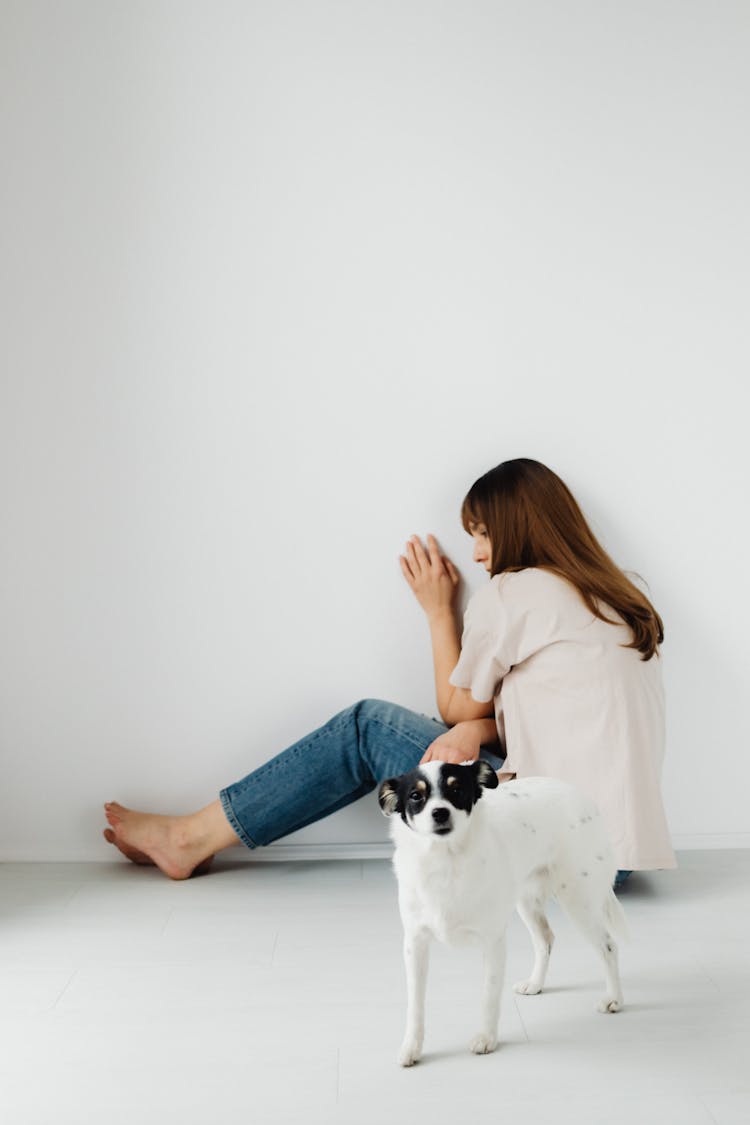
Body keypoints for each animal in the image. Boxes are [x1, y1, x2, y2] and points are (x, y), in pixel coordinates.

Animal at [377, 756, 629, 1062]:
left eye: (457, 789)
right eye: (415, 796)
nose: (439, 812)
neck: (446, 860)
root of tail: (584, 799)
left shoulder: (492, 942)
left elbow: (489, 995)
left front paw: (486, 1038)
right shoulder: (415, 944)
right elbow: (415, 1004)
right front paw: (411, 1047)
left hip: (578, 899)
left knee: (608, 946)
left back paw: (614, 998)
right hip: (527, 900)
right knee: (545, 940)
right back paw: (535, 984)